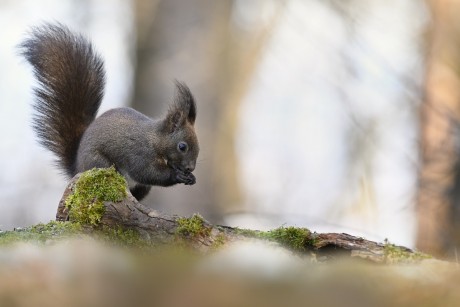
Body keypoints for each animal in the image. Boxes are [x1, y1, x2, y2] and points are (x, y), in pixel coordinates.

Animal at [20, 24, 199, 202]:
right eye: (182, 146)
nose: (190, 168)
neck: (155, 139)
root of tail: (77, 168)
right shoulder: (139, 153)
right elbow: (147, 172)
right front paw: (177, 175)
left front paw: (191, 178)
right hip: (100, 164)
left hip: (141, 188)